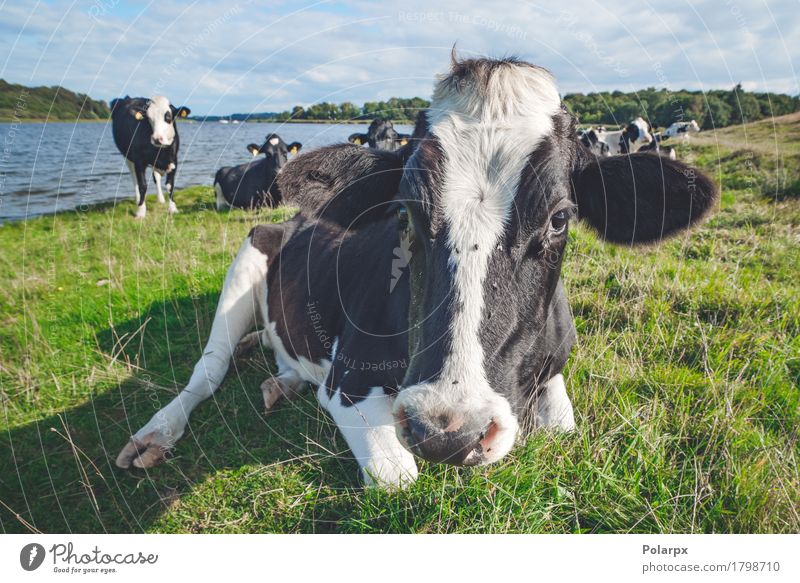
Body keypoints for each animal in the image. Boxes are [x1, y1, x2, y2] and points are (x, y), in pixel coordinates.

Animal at [114, 56, 720, 488]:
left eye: (560, 218)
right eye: (405, 209)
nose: (448, 432)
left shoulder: (554, 366)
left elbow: (565, 426)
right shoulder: (349, 379)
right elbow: (398, 477)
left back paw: (276, 382)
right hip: (251, 250)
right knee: (207, 370)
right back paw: (156, 433)